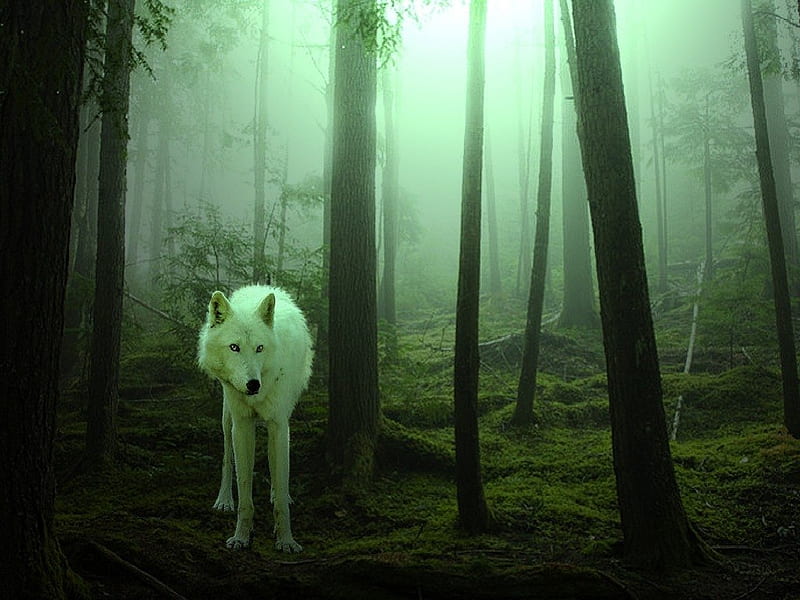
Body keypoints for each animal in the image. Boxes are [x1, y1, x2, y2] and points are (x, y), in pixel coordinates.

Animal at [197, 286, 312, 552]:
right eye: (234, 347)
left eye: (259, 348)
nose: (253, 384)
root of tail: (261, 286)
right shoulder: (242, 426)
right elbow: (244, 492)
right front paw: (240, 537)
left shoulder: (279, 425)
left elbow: (280, 487)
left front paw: (286, 540)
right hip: (227, 419)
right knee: (227, 458)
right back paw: (224, 500)